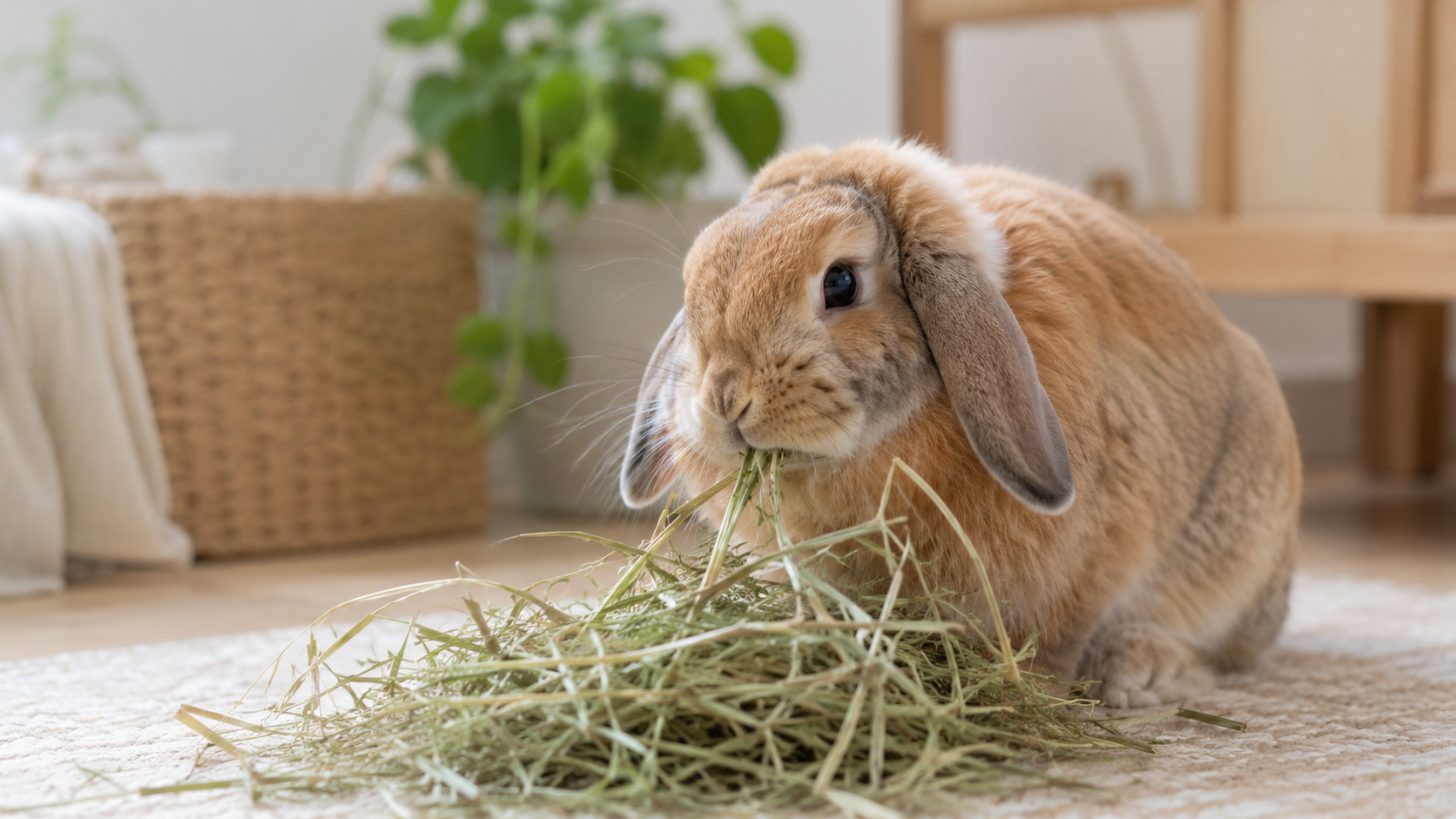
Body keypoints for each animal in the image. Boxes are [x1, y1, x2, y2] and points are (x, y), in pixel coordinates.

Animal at [619, 140, 1300, 708]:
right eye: (690, 290)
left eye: (840, 282)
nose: (726, 399)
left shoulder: (1097, 560)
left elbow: (1060, 636)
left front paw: (1032, 692)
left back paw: (1139, 673)